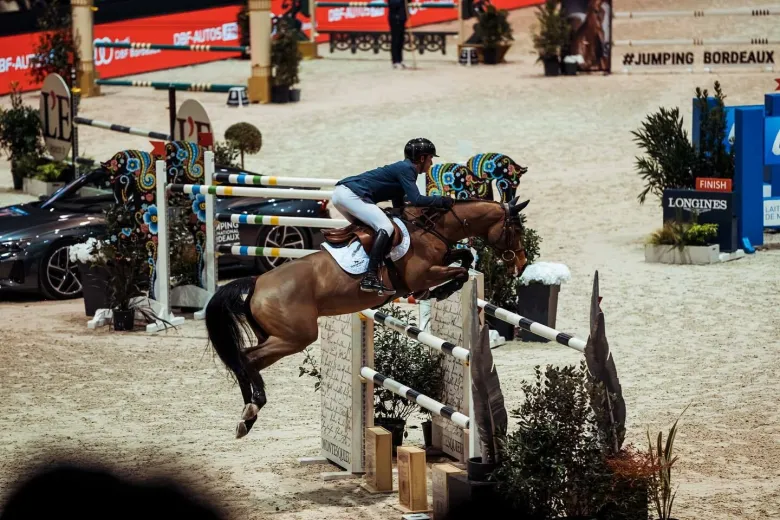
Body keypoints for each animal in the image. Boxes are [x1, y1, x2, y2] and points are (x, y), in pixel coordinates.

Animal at [204, 197, 532, 436]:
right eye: (515, 230)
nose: (520, 263)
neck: (429, 229)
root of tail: (257, 283)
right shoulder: (421, 275)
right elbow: (460, 271)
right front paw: (440, 292)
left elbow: (463, 259)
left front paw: (443, 286)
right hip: (295, 337)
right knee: (246, 358)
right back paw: (252, 408)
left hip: (279, 337)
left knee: (244, 361)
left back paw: (246, 416)